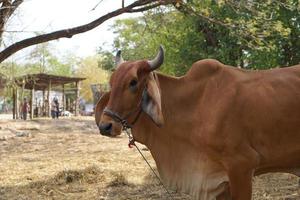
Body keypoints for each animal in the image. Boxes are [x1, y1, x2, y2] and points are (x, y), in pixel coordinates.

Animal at [96, 46, 300, 199]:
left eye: (133, 82)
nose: (105, 126)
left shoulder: (242, 165)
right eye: (111, 82)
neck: (196, 104)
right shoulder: (219, 180)